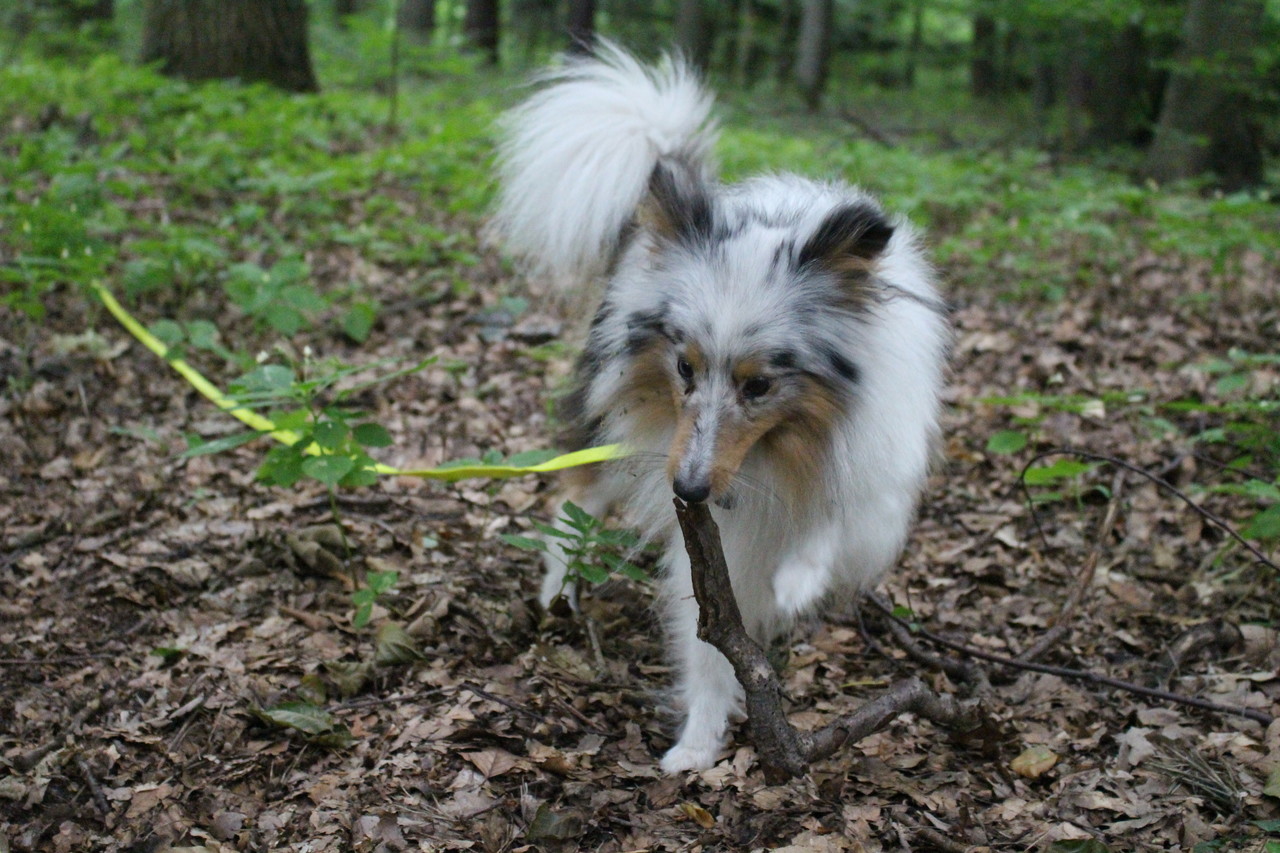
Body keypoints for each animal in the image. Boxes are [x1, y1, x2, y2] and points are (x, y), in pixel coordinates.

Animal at [493, 44, 949, 773]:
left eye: (759, 385)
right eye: (684, 367)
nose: (689, 487)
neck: (780, 450)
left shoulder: (878, 480)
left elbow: (835, 519)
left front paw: (798, 579)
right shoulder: (707, 545)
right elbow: (709, 649)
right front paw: (697, 744)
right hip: (607, 426)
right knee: (573, 503)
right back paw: (557, 592)